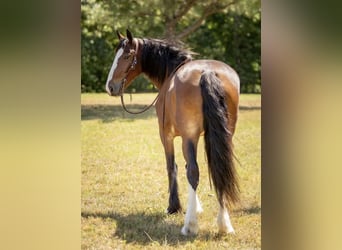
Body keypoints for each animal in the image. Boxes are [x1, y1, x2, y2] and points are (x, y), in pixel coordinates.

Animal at [105, 30, 239, 235]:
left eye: (127, 56)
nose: (110, 86)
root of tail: (207, 72)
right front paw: (196, 206)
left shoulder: (166, 136)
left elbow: (172, 167)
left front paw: (174, 206)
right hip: (224, 135)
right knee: (220, 168)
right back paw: (224, 224)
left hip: (189, 137)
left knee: (194, 172)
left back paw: (190, 225)